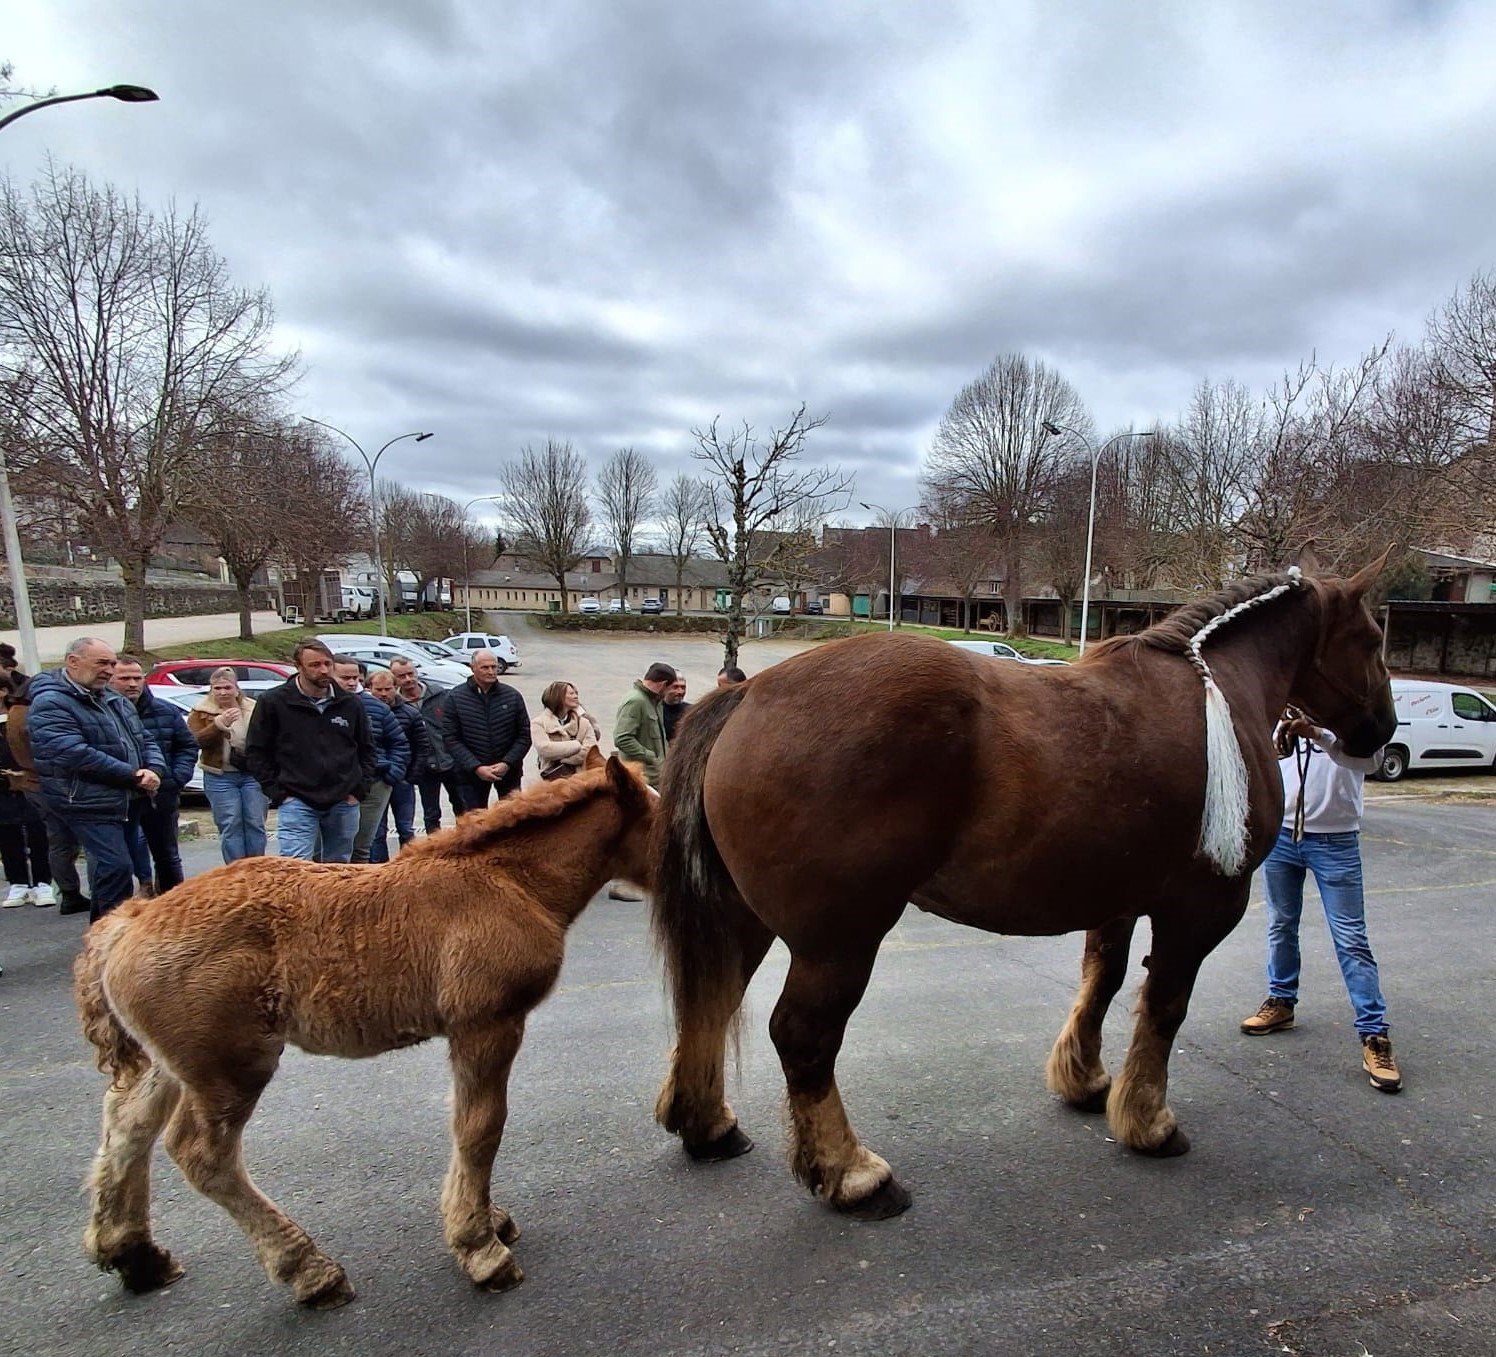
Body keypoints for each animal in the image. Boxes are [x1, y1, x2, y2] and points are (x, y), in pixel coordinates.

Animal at [75, 754, 652, 1308]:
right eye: (656, 815)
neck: (509, 882)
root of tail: (129, 921)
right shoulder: (486, 1024)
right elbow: (480, 1127)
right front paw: (480, 1249)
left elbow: (466, 1125)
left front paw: (486, 1220)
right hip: (230, 1068)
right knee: (201, 1154)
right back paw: (310, 1271)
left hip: (170, 1065)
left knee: (128, 1126)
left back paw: (135, 1255)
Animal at [650, 554, 1396, 1219]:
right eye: (1371, 639)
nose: (1382, 732)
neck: (1215, 693)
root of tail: (746, 694)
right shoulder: (1201, 908)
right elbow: (1163, 1007)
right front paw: (1148, 1120)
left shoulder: (1118, 897)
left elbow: (1103, 978)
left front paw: (1086, 1078)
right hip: (838, 942)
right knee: (802, 1036)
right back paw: (853, 1173)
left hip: (744, 921)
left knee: (709, 1003)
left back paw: (709, 1125)